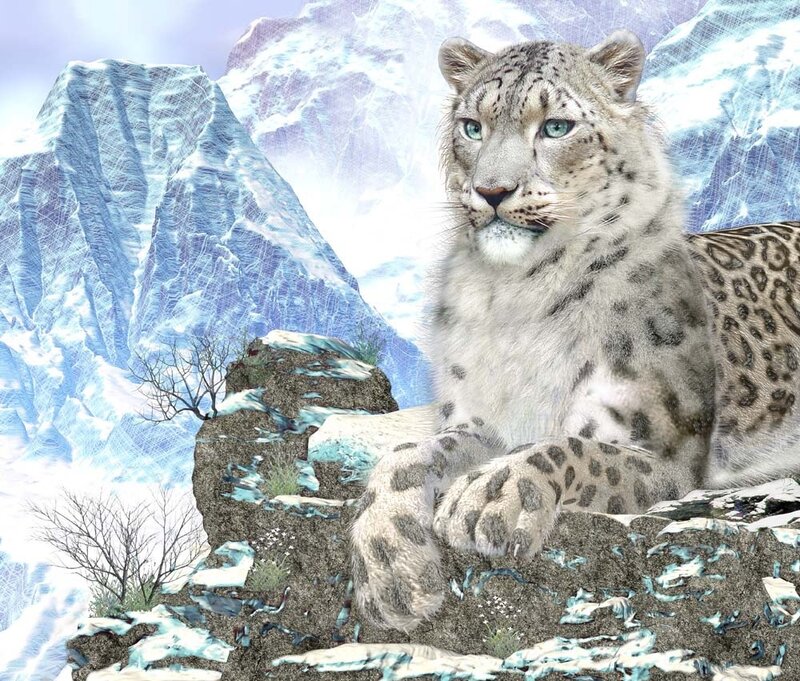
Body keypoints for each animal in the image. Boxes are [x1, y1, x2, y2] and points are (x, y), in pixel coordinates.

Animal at [348, 28, 800, 632]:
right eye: (473, 126)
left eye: (556, 127)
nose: (492, 191)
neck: (517, 297)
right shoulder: (478, 419)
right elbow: (408, 456)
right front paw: (392, 574)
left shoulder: (661, 450)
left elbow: (564, 446)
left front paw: (488, 497)